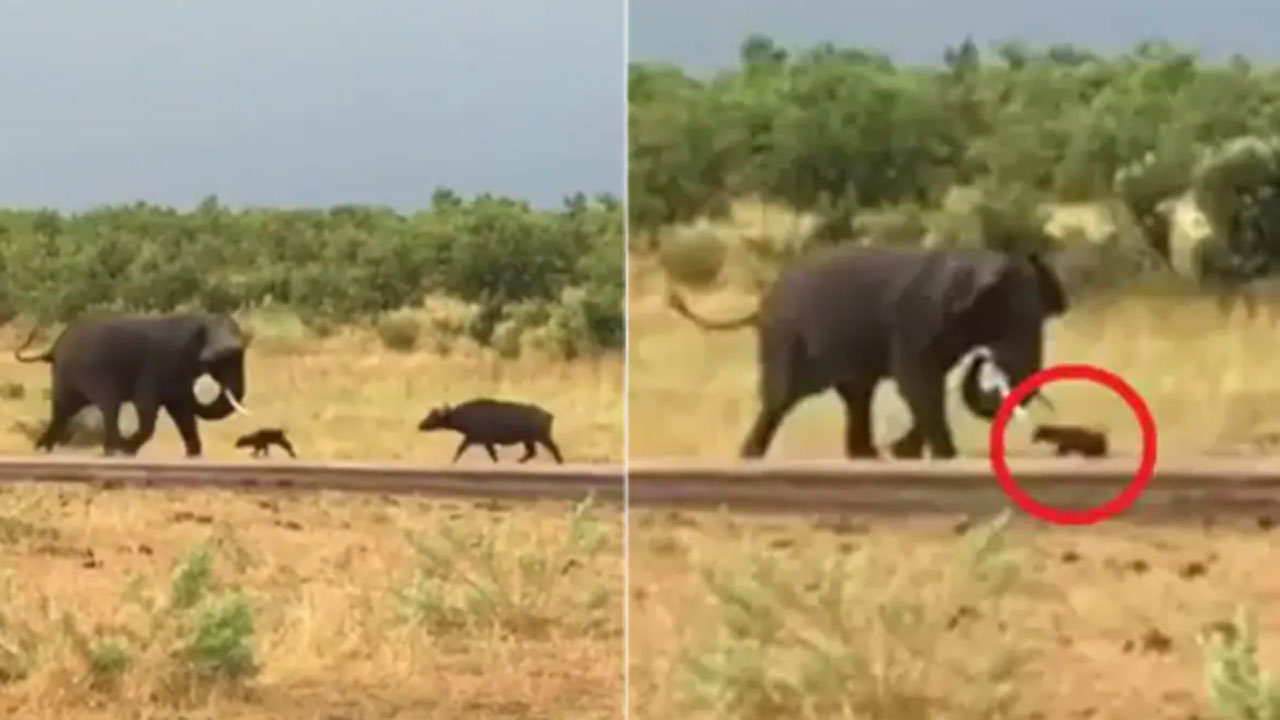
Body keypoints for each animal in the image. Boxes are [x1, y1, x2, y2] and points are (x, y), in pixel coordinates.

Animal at [16, 311, 252, 456]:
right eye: (223, 358)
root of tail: (53, 348)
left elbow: (183, 411)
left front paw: (194, 455)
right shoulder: (159, 364)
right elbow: (147, 407)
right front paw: (128, 449)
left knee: (63, 411)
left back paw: (42, 448)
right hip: (89, 372)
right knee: (108, 406)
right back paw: (113, 449)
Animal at [417, 394, 563, 461]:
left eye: (434, 416)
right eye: (430, 414)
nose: (420, 425)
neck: (465, 416)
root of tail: (549, 415)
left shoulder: (477, 439)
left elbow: (460, 449)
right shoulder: (482, 441)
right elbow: (492, 455)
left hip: (542, 437)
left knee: (554, 450)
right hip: (529, 440)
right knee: (532, 453)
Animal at [665, 243, 1064, 456]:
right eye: (1011, 323)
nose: (984, 359)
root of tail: (761, 305)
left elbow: (923, 386)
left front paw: (904, 453)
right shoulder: (915, 320)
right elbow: (917, 382)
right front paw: (940, 455)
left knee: (856, 396)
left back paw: (866, 455)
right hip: (785, 335)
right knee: (782, 397)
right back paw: (751, 456)